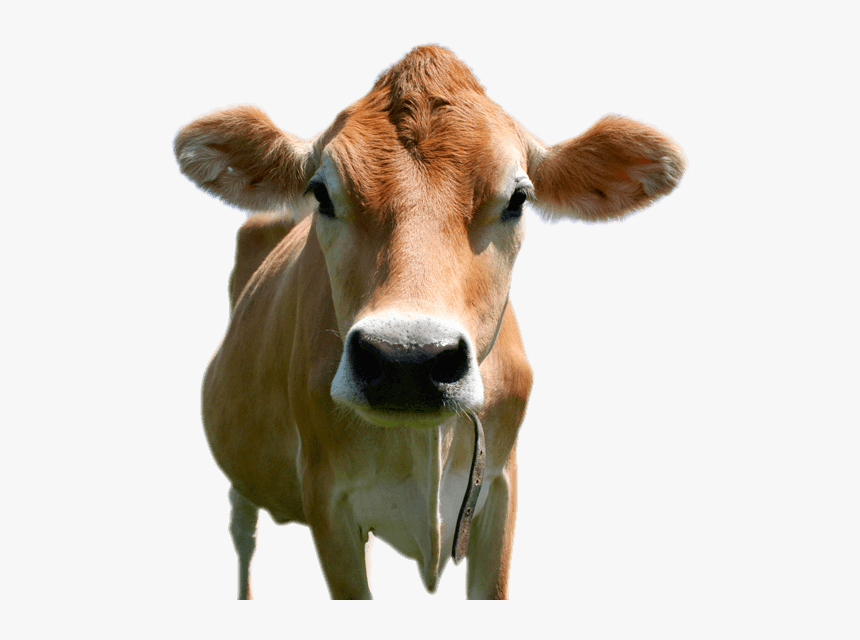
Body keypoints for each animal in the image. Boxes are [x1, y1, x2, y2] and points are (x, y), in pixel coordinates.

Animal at [174, 45, 685, 599]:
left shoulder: (499, 489)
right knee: (242, 535)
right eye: (321, 193)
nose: (407, 360)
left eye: (518, 198)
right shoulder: (327, 499)